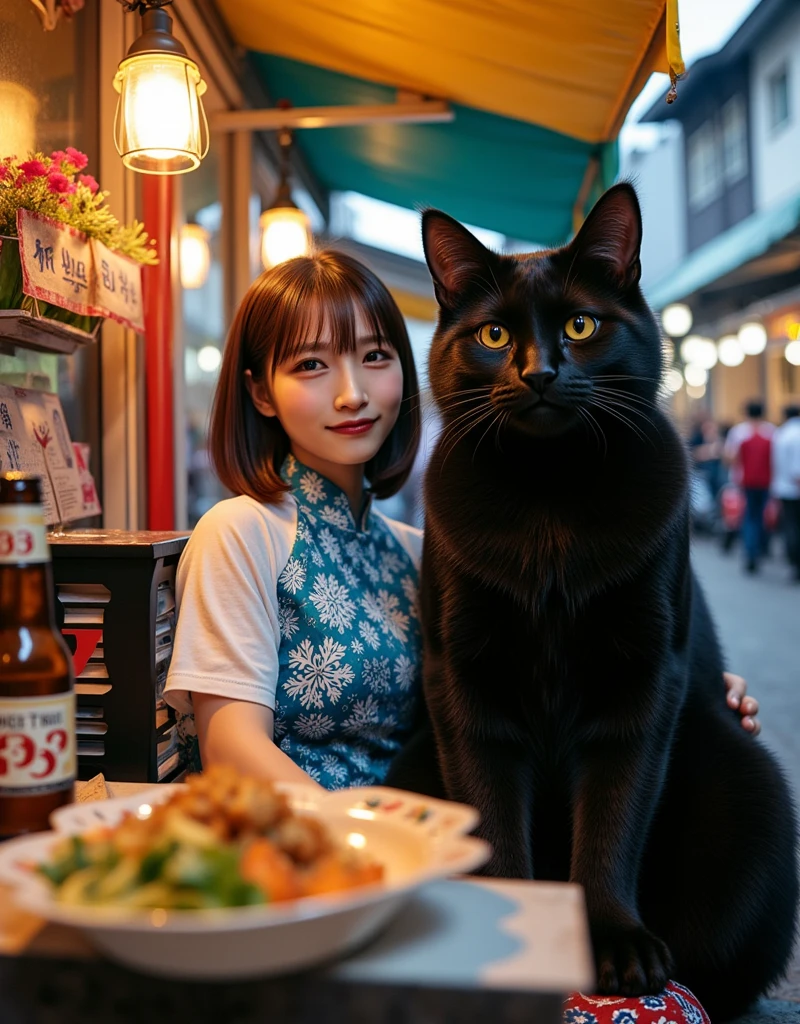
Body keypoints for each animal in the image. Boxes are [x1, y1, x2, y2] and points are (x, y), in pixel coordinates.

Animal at [385, 182, 790, 1015]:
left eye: (581, 324)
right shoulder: (464, 680)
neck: (551, 502)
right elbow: (491, 813)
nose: (539, 373)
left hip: (752, 782)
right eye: (495, 334)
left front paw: (613, 941)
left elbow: (612, 817)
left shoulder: (643, 680)